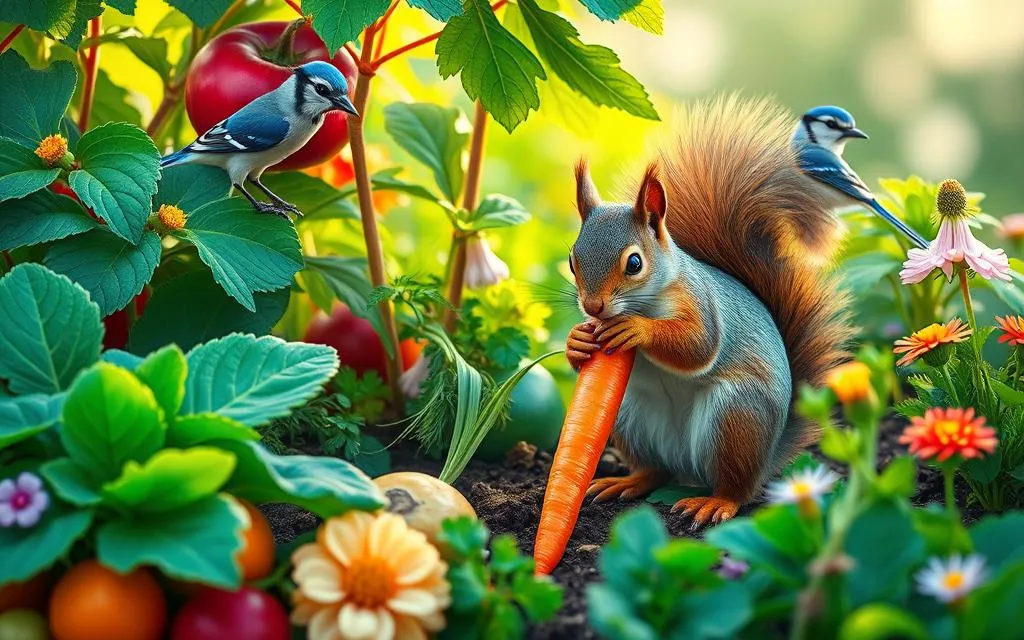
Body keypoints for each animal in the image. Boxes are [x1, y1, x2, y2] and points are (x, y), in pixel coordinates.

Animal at [566, 96, 852, 527]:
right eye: (572, 260)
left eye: (634, 263)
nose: (593, 306)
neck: (649, 298)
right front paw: (577, 341)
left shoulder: (700, 302)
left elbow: (698, 345)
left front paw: (636, 329)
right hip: (631, 417)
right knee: (655, 470)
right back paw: (628, 481)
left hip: (737, 417)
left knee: (736, 488)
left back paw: (715, 502)